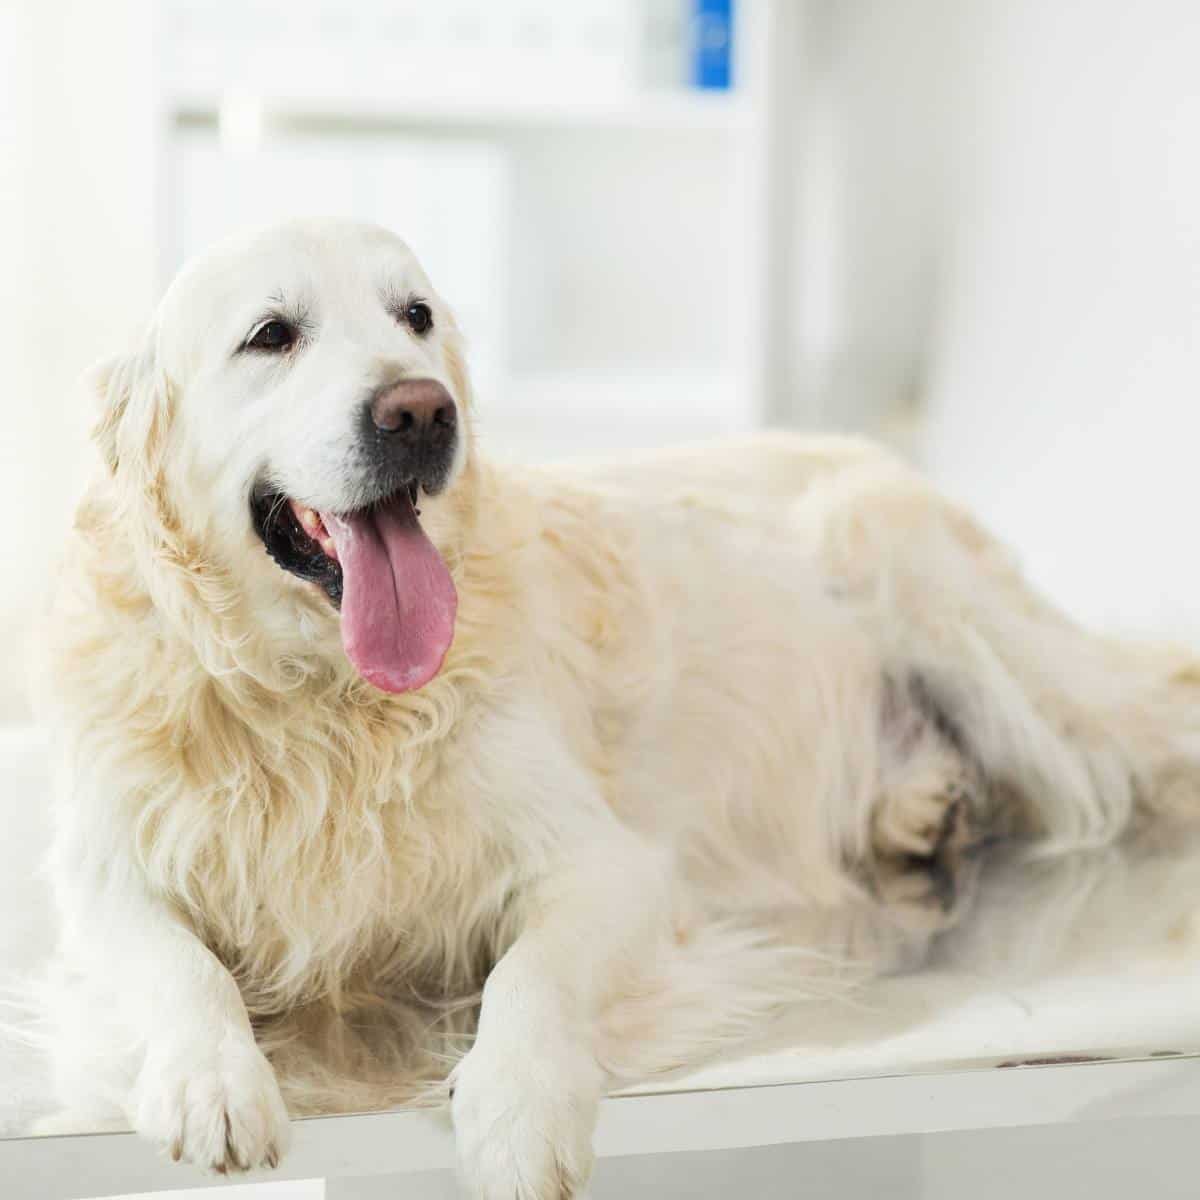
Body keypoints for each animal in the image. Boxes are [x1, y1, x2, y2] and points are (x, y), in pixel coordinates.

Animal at [37, 220, 1200, 1195]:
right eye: (271, 336)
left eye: (414, 316)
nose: (421, 411)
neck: (327, 701)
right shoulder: (104, 874)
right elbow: (180, 966)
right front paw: (213, 1079)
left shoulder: (609, 864)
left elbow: (533, 975)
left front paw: (517, 1104)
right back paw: (924, 807)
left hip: (962, 617)